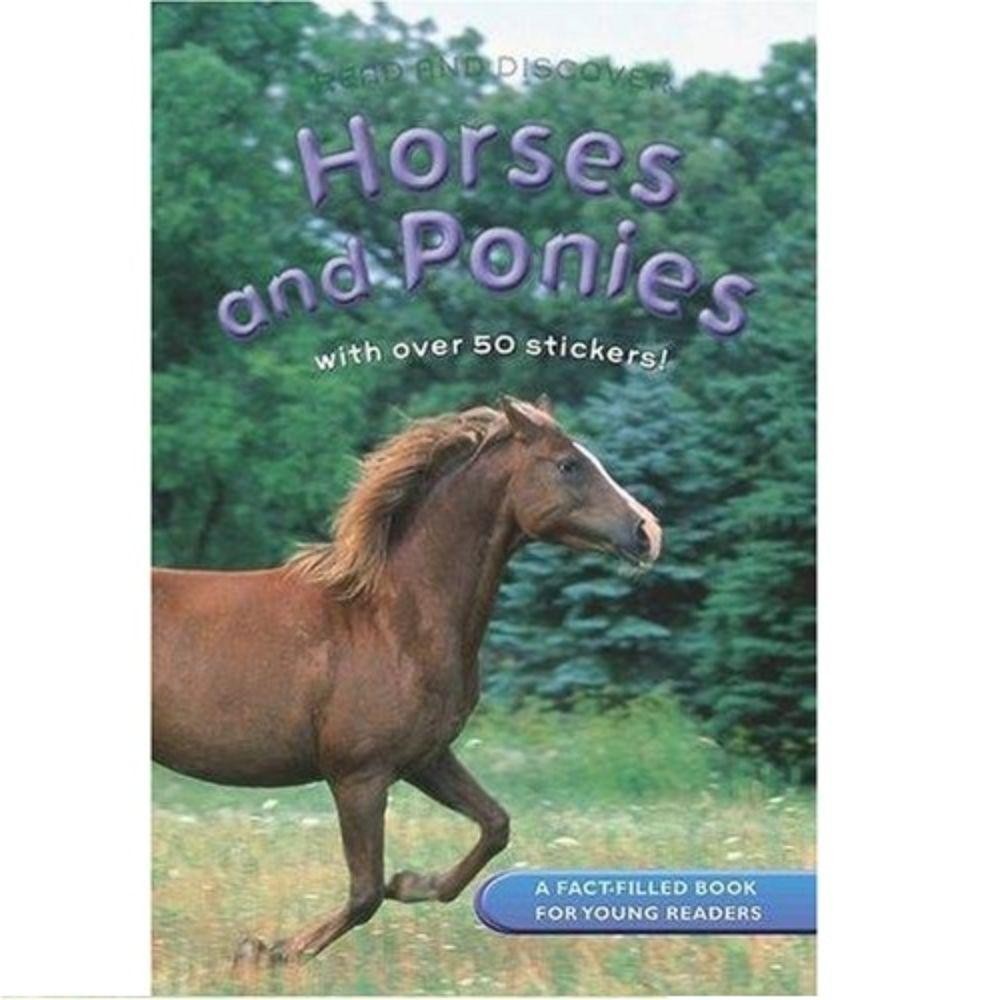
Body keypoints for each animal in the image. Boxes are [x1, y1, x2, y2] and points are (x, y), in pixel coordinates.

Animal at [152, 394, 662, 966]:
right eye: (568, 465)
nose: (648, 533)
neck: (393, 620)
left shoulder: (426, 759)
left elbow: (495, 826)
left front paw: (415, 882)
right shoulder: (359, 775)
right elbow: (365, 893)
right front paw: (269, 951)